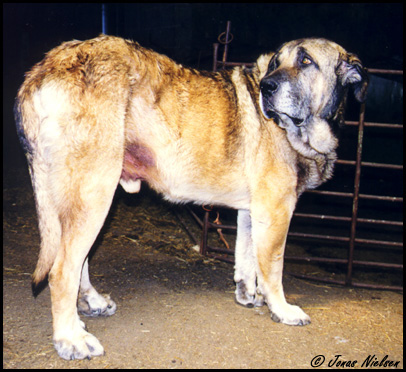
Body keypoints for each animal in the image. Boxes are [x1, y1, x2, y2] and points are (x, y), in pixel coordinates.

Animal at [14, 35, 366, 360]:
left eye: (306, 61)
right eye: (277, 63)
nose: (267, 87)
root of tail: (46, 66)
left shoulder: (253, 211)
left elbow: (247, 258)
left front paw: (248, 294)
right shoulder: (277, 211)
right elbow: (273, 268)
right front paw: (281, 309)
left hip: (85, 195)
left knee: (77, 259)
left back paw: (90, 304)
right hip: (95, 190)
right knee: (63, 270)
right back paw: (71, 338)